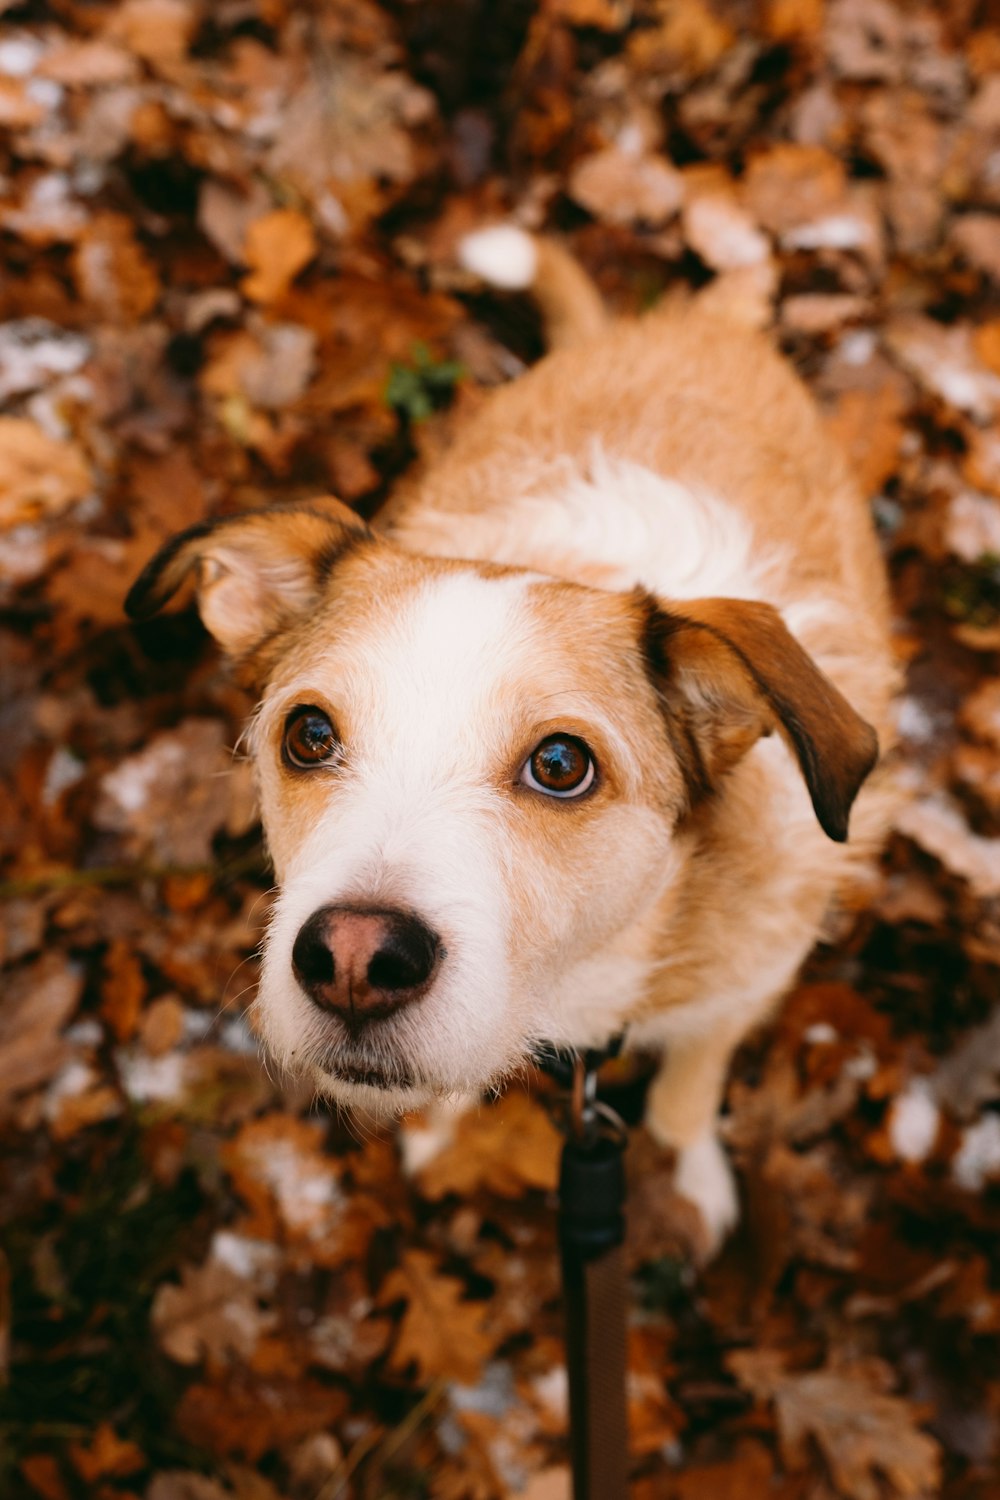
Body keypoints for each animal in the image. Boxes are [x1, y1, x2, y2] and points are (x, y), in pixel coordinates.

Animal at [127, 228, 899, 1248]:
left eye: (562, 764)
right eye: (308, 734)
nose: (354, 963)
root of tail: (703, 322)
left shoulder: (739, 990)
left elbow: (689, 1090)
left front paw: (684, 1180)